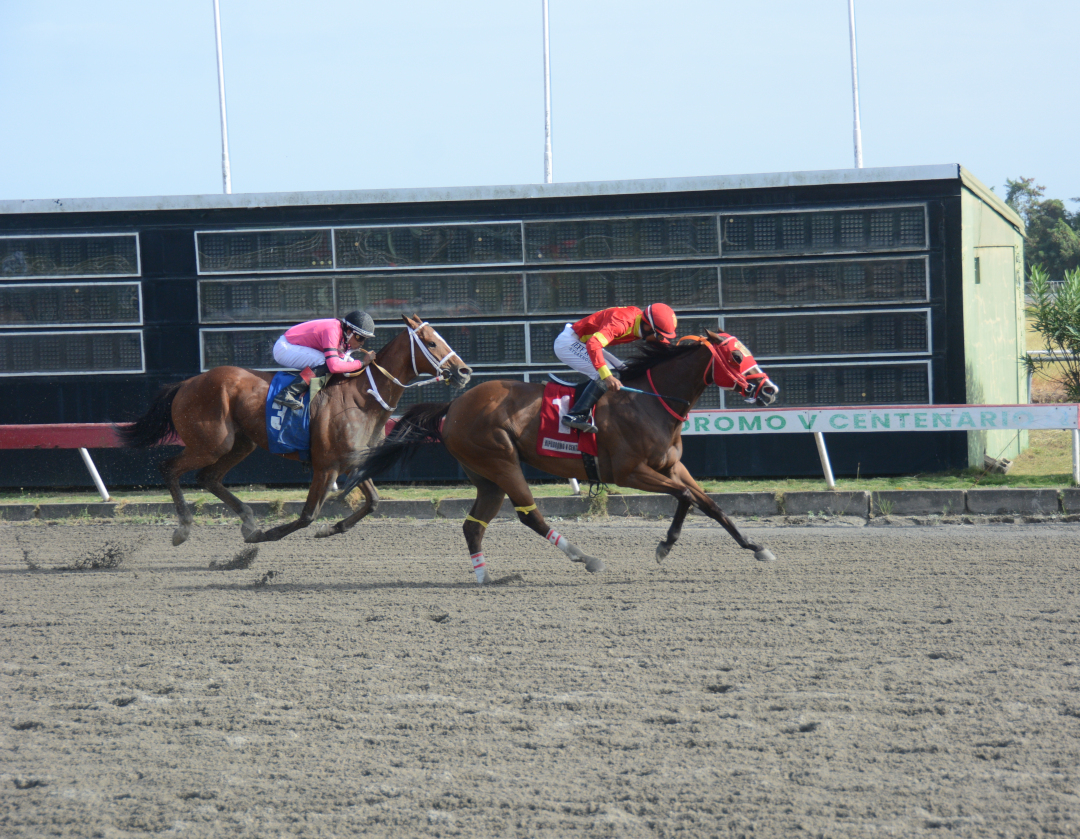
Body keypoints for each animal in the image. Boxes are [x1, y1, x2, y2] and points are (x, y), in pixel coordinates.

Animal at [117, 314, 472, 545]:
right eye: (431, 343)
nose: (464, 371)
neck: (363, 398)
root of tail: (187, 383)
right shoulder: (326, 466)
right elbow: (308, 515)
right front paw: (267, 535)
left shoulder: (355, 461)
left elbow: (372, 502)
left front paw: (329, 529)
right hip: (211, 443)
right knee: (170, 468)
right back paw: (184, 529)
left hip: (240, 443)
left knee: (208, 478)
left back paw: (247, 520)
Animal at [348, 330, 779, 583]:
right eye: (736, 357)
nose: (770, 389)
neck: (650, 403)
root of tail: (451, 408)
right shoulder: (630, 472)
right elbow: (687, 498)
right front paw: (665, 546)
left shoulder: (672, 466)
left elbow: (710, 503)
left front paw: (756, 547)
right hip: (501, 460)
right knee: (530, 515)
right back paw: (584, 557)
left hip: (487, 475)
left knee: (473, 526)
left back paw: (485, 577)